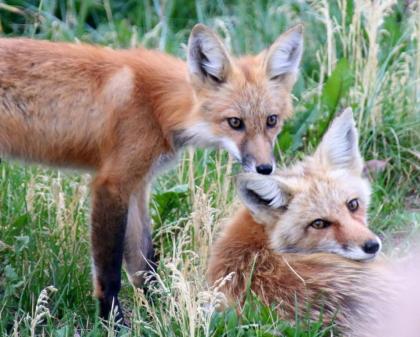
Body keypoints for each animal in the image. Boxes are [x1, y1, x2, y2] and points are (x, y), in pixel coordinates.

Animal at [0, 25, 304, 318]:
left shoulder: (138, 185)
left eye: (272, 121)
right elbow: (110, 272)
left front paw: (159, 312)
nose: (265, 169)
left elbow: (144, 264)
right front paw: (113, 322)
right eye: (235, 123)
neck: (155, 105)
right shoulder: (112, 183)